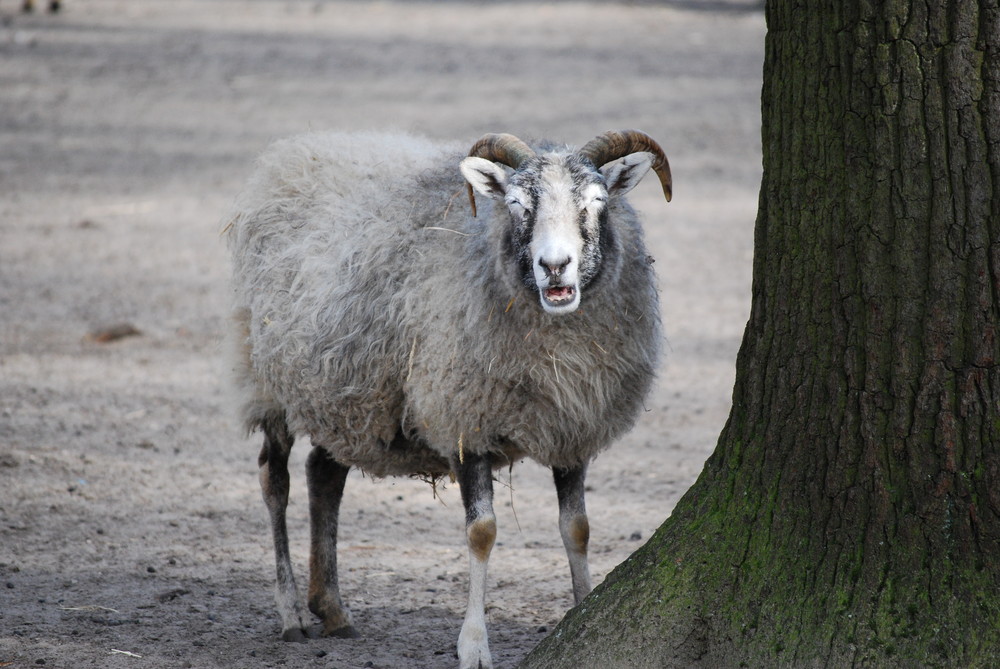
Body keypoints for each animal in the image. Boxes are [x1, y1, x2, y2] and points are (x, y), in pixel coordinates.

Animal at [225, 128, 672, 664]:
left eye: (597, 202)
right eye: (517, 204)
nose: (555, 267)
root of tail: (294, 150)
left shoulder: (572, 428)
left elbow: (577, 529)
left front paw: (583, 612)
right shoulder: (464, 420)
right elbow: (482, 533)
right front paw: (474, 646)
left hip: (348, 395)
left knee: (323, 475)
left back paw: (331, 609)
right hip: (268, 381)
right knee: (275, 481)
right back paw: (291, 613)